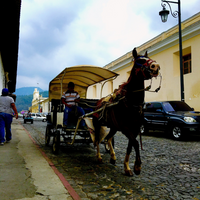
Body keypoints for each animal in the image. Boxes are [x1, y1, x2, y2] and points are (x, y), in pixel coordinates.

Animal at [93, 47, 160, 176]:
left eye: (149, 58)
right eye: (140, 61)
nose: (156, 66)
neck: (130, 102)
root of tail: (98, 102)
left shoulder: (135, 129)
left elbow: (130, 146)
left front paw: (127, 167)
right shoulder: (126, 128)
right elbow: (136, 144)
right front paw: (137, 166)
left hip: (113, 127)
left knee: (108, 138)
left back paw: (113, 157)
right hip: (98, 124)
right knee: (98, 140)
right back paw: (98, 157)